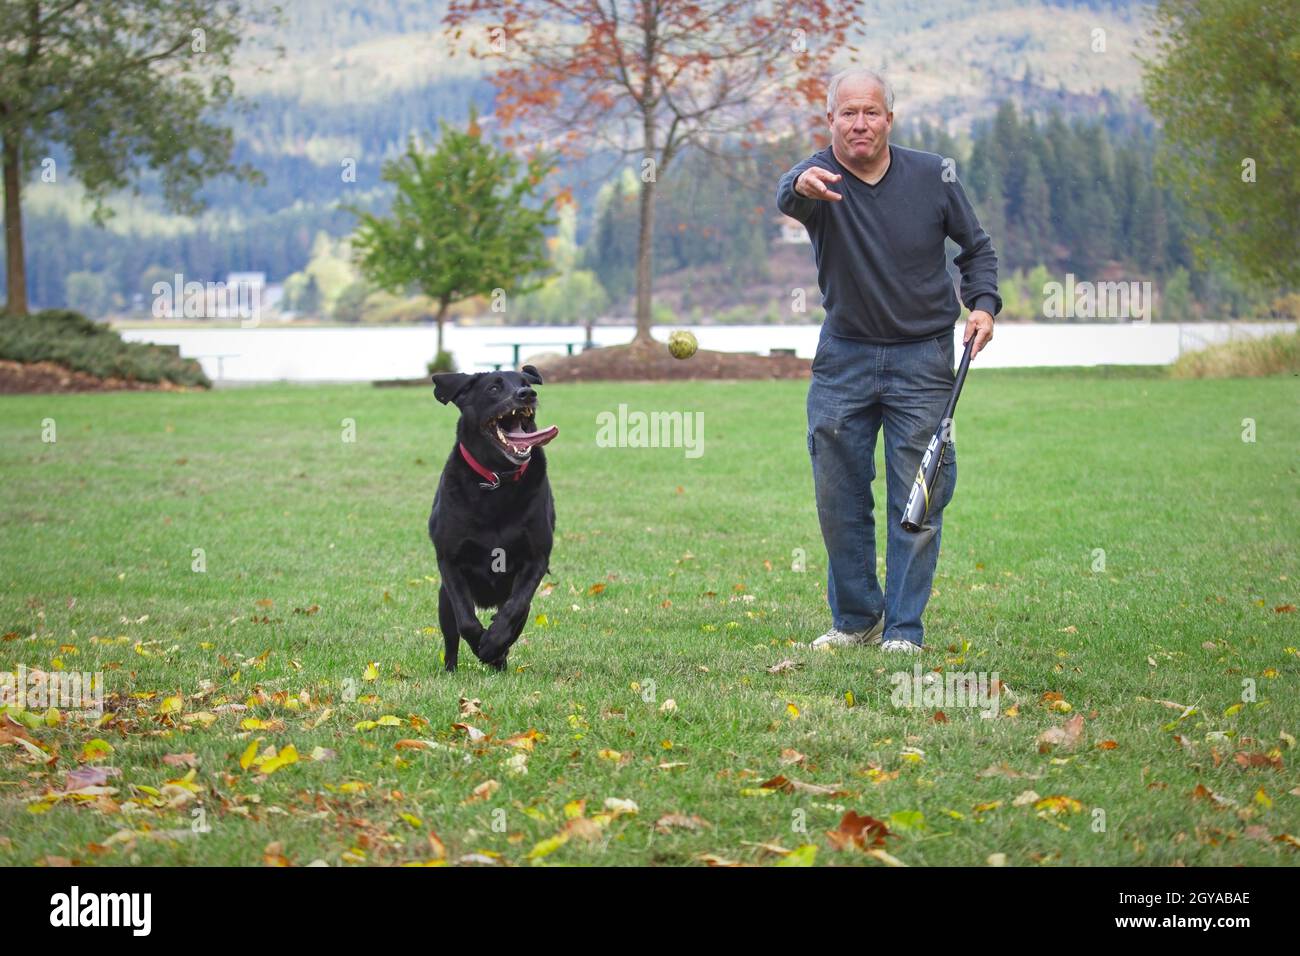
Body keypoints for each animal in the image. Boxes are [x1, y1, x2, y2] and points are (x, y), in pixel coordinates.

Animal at [428, 366, 556, 671]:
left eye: (525, 383)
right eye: (494, 388)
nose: (527, 394)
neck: (498, 480)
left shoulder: (536, 559)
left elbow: (515, 609)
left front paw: (493, 644)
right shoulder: (449, 561)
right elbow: (466, 620)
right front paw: (481, 644)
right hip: (443, 599)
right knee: (451, 636)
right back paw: (452, 669)